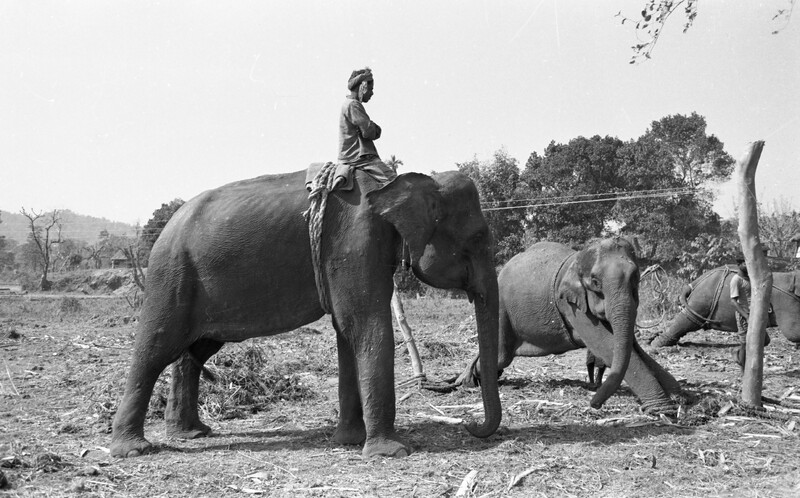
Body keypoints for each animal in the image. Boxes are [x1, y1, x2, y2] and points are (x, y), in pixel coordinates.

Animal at [110, 169, 501, 459]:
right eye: (478, 238)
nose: (470, 425)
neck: (395, 183)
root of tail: (165, 228)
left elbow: (347, 332)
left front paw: (348, 440)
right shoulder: (355, 242)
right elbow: (366, 327)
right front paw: (390, 452)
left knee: (194, 351)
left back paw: (193, 433)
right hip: (171, 275)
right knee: (155, 347)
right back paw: (133, 449)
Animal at [459, 239, 681, 413]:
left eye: (636, 277)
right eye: (595, 281)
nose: (594, 404)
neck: (578, 259)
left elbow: (632, 347)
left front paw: (680, 396)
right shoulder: (571, 304)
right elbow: (605, 344)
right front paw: (663, 410)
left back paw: (470, 380)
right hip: (500, 307)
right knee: (501, 356)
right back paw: (467, 381)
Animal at [650, 266, 800, 352]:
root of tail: (694, 283)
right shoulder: (785, 301)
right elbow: (792, 332)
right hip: (702, 300)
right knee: (687, 320)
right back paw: (655, 343)